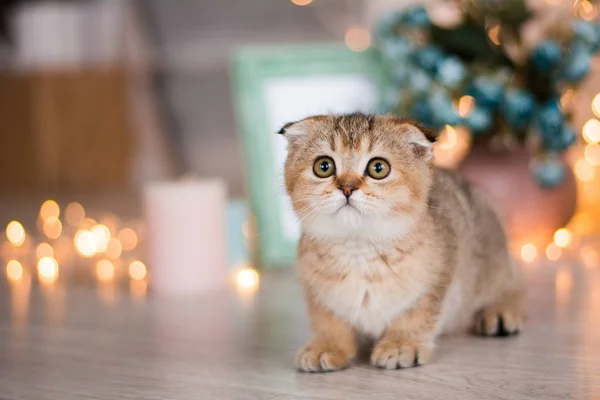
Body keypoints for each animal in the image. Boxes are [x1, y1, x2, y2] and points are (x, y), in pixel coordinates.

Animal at [278, 112, 524, 372]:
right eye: (323, 166)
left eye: (378, 168)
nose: (347, 187)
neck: (359, 249)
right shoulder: (316, 291)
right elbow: (327, 319)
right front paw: (327, 345)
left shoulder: (438, 278)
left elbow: (416, 314)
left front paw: (402, 344)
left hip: (489, 267)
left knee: (514, 283)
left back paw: (502, 312)